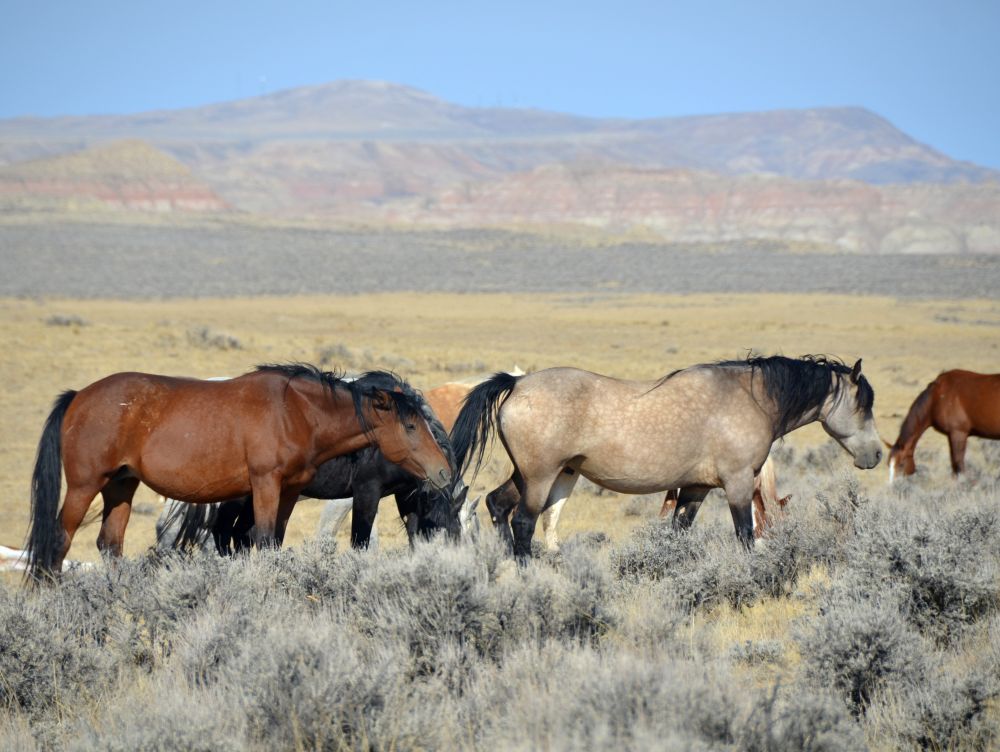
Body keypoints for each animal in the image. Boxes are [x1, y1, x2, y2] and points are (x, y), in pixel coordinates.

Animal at [157, 374, 468, 556]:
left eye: (457, 536)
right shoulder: (365, 492)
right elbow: (360, 542)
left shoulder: (406, 497)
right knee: (222, 534)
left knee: (237, 536)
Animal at [450, 354, 880, 560]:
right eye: (863, 403)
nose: (875, 454)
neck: (750, 398)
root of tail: (517, 383)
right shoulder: (739, 484)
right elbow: (745, 535)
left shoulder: (695, 489)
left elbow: (679, 534)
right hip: (541, 477)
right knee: (523, 522)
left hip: (530, 474)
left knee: (497, 504)